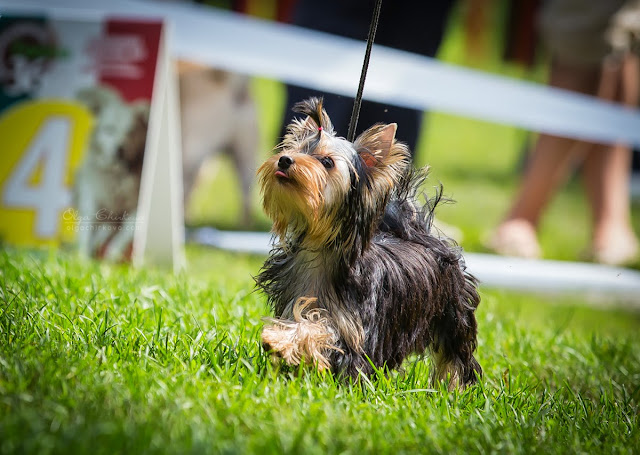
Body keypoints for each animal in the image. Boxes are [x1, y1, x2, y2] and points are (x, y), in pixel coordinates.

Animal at [255, 98, 480, 390]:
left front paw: (283, 339)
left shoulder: (356, 329)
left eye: (327, 162)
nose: (284, 159)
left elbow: (322, 330)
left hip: (453, 314)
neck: (320, 247)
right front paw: (282, 342)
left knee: (456, 358)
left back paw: (452, 390)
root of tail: (424, 236)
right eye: (296, 149)